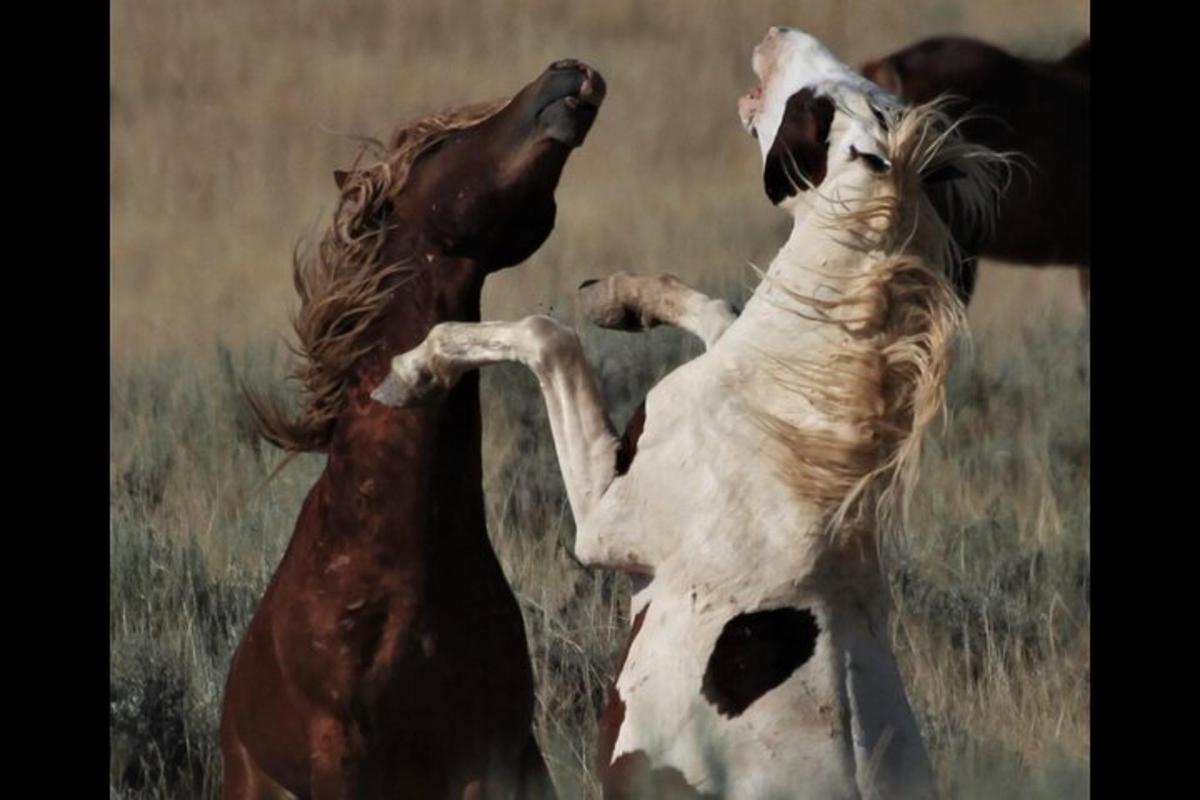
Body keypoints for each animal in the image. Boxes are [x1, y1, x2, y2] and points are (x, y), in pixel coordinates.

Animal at [372, 26, 1003, 800]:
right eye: (857, 89)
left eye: (817, 104)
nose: (778, 33)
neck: (784, 421)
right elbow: (713, 307)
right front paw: (616, 297)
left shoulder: (606, 522)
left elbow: (546, 337)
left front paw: (410, 371)